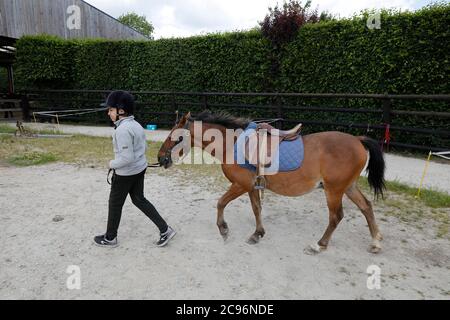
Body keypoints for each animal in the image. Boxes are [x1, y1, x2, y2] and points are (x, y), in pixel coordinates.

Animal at [156, 111, 384, 254]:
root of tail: (357, 140)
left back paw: (319, 245)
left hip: (334, 190)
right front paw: (258, 234)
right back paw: (375, 242)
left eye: (174, 137)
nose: (160, 158)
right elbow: (257, 208)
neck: (233, 144)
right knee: (366, 207)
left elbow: (221, 203)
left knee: (336, 216)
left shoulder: (240, 185)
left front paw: (223, 229)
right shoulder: (251, 186)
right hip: (348, 187)